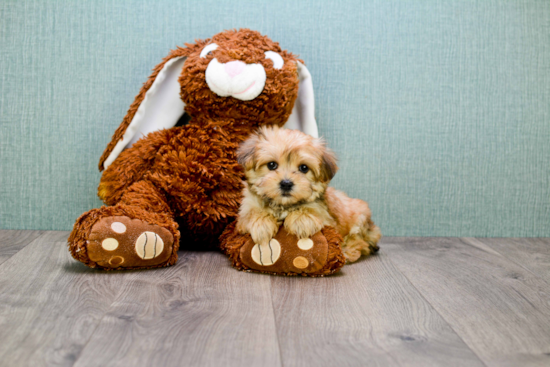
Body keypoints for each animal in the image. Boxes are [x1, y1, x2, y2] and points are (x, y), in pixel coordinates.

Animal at [237, 127, 384, 264]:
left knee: (359, 242)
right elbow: (251, 214)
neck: (283, 205)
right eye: (272, 165)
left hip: (359, 220)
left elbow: (310, 212)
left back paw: (347, 252)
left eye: (304, 168)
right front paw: (261, 224)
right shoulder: (245, 209)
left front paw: (300, 220)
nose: (286, 183)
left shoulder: (325, 216)